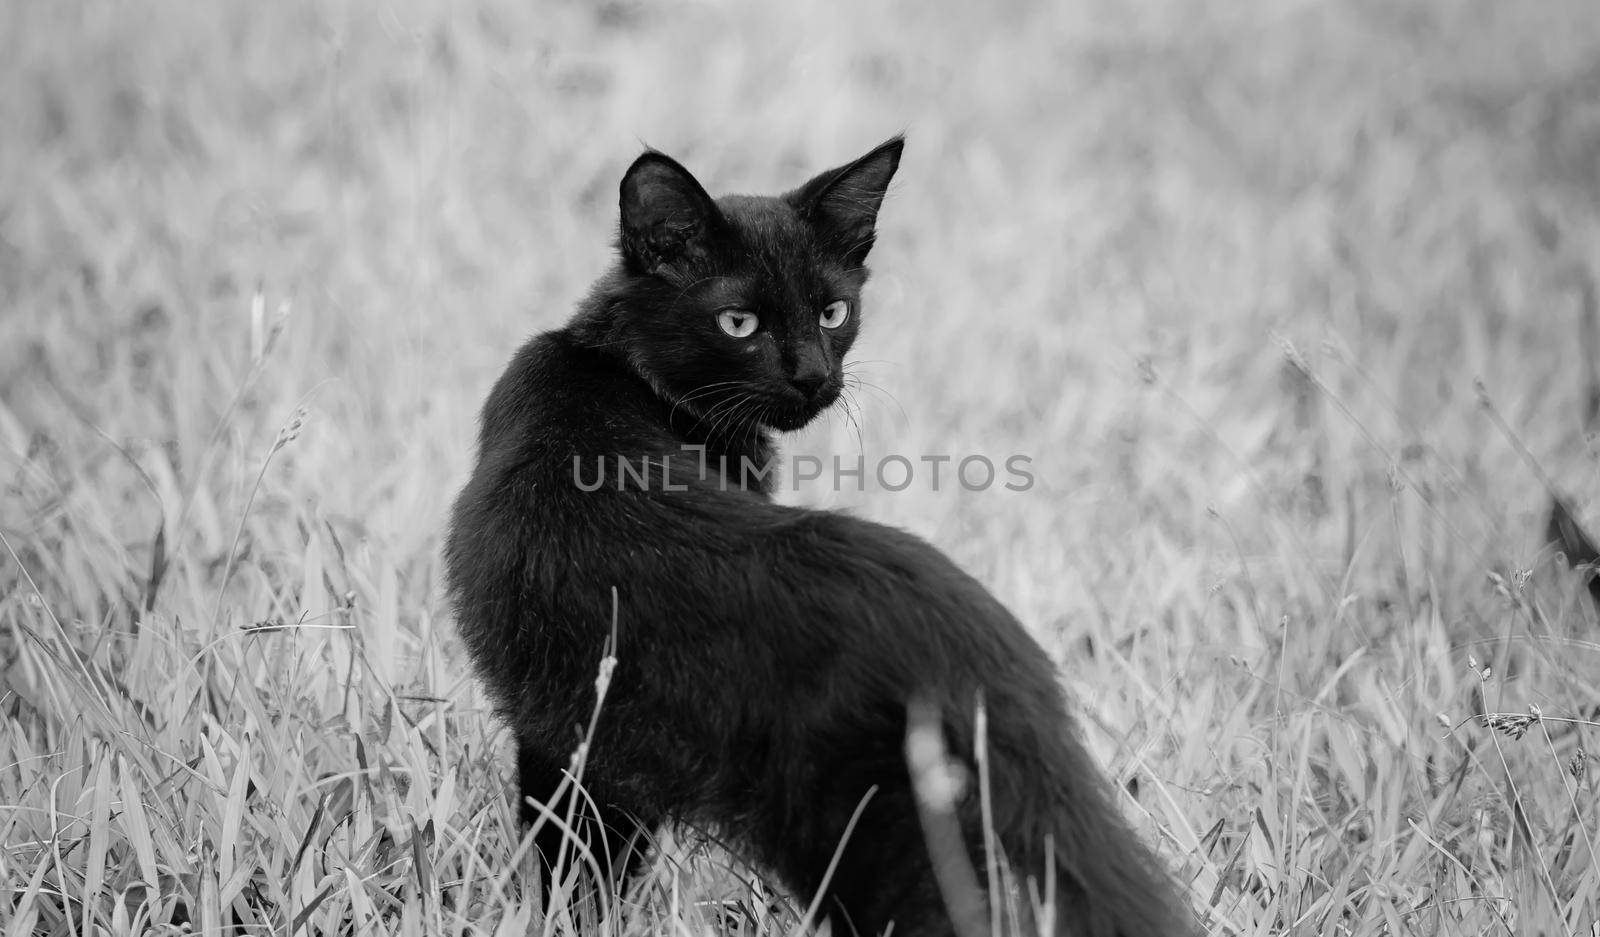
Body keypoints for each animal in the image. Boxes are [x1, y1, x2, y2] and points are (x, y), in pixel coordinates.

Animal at [444, 138, 1196, 933]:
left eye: (834, 311)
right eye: (738, 323)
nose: (812, 375)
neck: (618, 367)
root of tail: (971, 646)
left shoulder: (567, 733)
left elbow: (573, 860)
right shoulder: (588, 733)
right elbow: (584, 865)